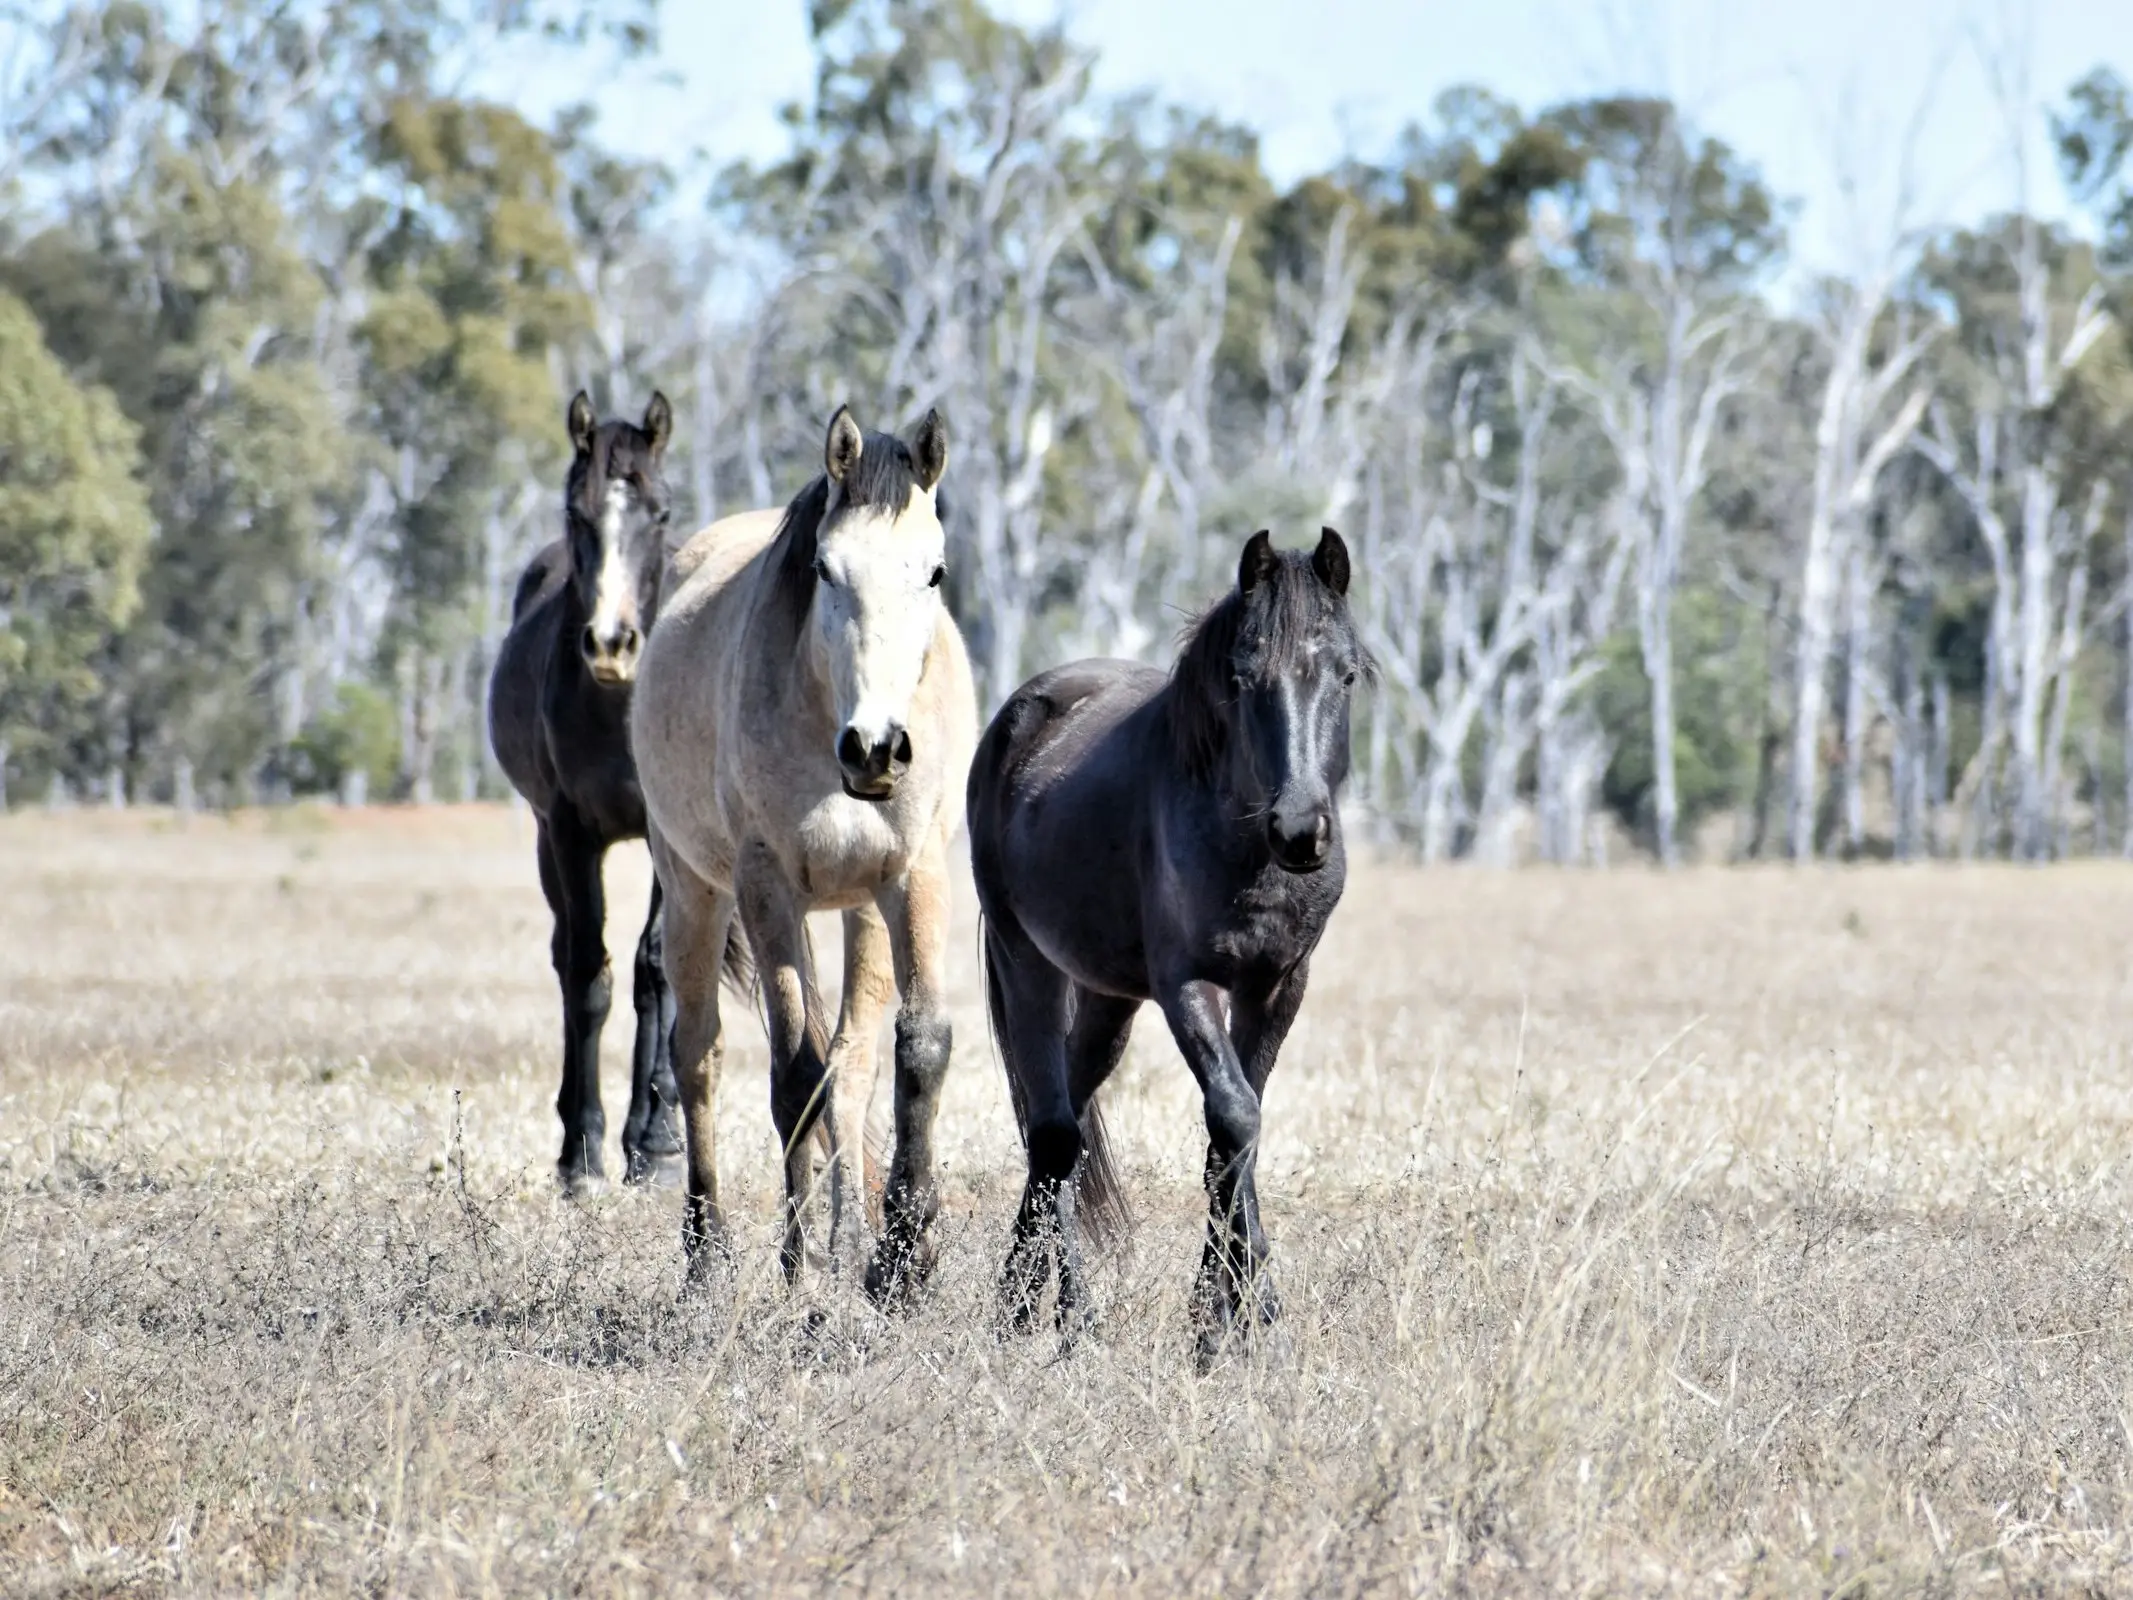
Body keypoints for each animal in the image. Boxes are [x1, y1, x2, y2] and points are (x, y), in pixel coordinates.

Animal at [622, 403, 976, 1305]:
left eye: (934, 572)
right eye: (824, 568)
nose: (877, 748)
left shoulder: (910, 880)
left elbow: (911, 1050)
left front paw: (900, 1257)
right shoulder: (767, 888)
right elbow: (791, 1076)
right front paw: (800, 1266)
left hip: (858, 912)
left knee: (849, 1068)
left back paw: (849, 1238)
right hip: (693, 892)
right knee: (700, 1055)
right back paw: (708, 1256)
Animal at [964, 529, 1365, 1365]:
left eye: (1344, 674)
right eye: (1242, 679)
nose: (1299, 830)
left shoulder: (1278, 986)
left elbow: (1232, 1137)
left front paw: (1215, 1323)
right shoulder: (1188, 987)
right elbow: (1235, 1119)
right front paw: (1258, 1312)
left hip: (1107, 1001)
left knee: (1063, 1124)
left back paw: (1018, 1308)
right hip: (1027, 962)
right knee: (1053, 1133)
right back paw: (1064, 1321)